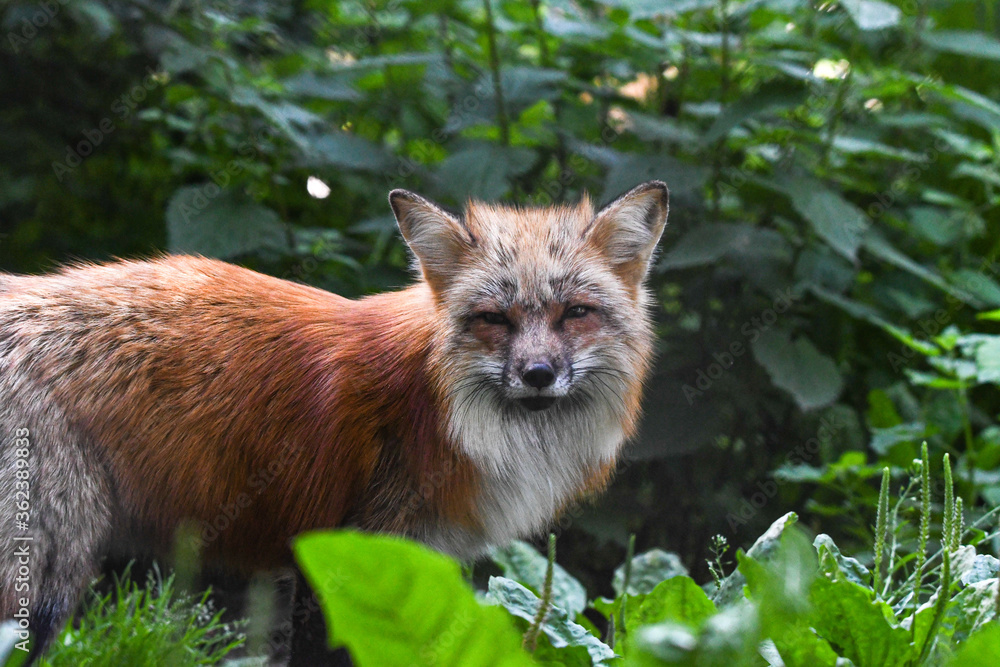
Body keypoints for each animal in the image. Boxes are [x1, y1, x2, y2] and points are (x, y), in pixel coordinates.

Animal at [0, 180, 668, 662]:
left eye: (575, 313)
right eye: (494, 319)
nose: (537, 373)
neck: (440, 407)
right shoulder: (345, 557)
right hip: (45, 582)